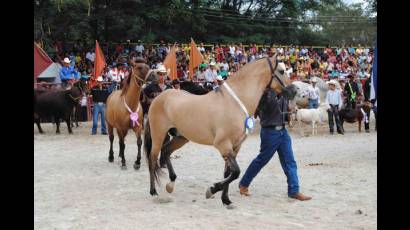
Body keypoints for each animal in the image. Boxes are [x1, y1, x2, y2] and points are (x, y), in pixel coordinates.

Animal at [143, 56, 296, 208]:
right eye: (282, 71)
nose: (294, 91)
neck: (235, 103)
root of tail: (159, 97)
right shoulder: (223, 145)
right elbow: (236, 172)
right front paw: (211, 190)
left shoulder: (235, 147)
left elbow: (228, 173)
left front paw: (226, 200)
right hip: (158, 135)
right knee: (152, 159)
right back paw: (153, 191)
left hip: (181, 137)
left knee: (166, 151)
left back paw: (171, 184)